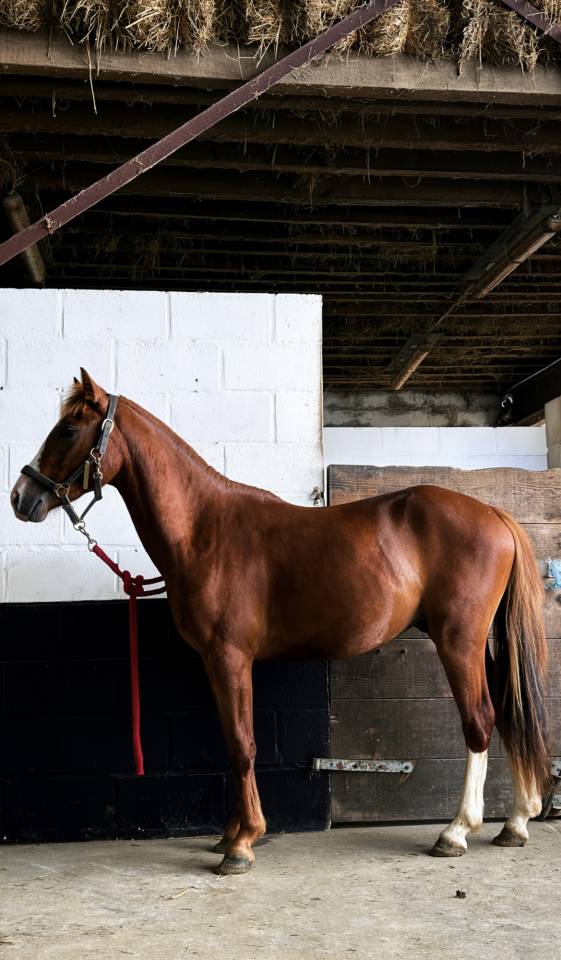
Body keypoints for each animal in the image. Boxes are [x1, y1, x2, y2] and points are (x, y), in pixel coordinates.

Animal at [10, 369, 550, 876]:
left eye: (67, 428)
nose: (20, 497)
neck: (205, 530)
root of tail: (494, 513)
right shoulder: (215, 662)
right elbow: (231, 741)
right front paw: (230, 834)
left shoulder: (230, 657)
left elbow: (244, 745)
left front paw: (243, 844)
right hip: (480, 644)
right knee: (509, 710)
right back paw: (517, 821)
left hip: (458, 641)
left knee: (479, 720)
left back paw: (457, 831)